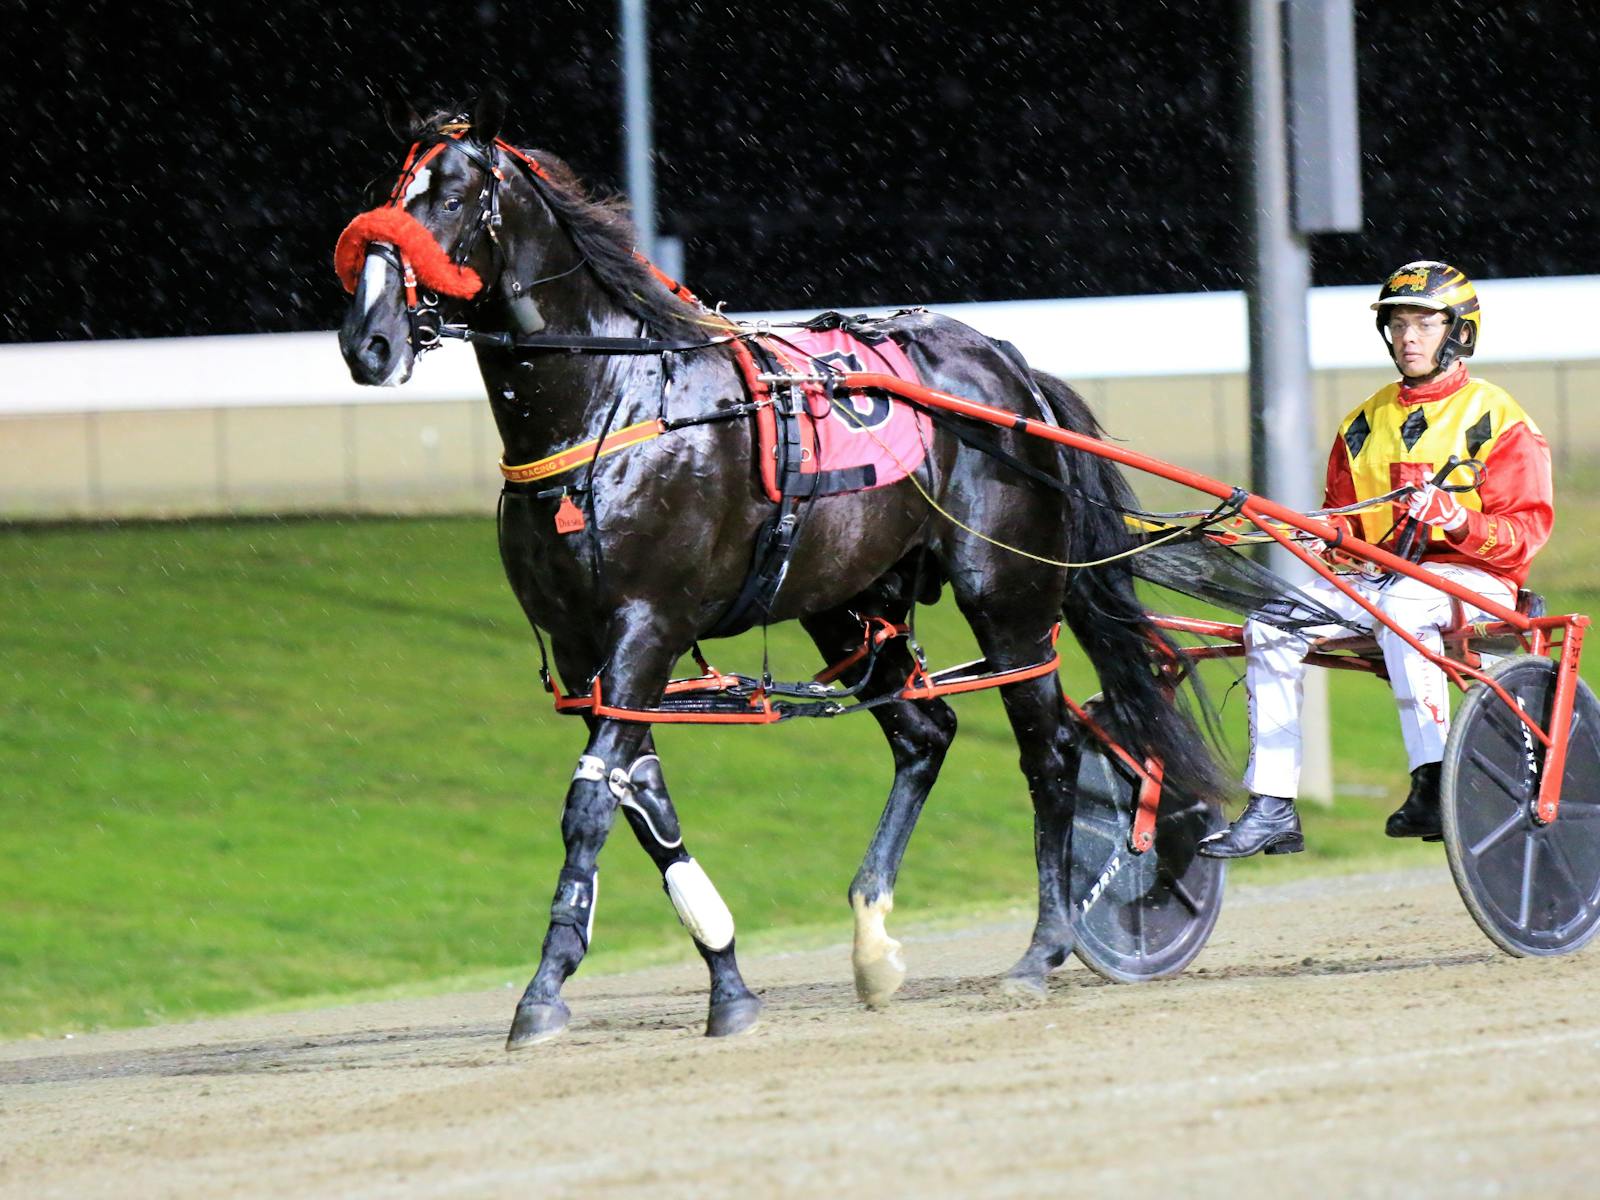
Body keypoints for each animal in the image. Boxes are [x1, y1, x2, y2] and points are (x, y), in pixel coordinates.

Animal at [331, 96, 1216, 1049]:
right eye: (393, 194)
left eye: (452, 198)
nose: (368, 340)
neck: (616, 399)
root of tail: (1008, 366)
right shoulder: (585, 647)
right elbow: (648, 808)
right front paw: (728, 982)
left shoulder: (647, 626)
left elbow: (590, 804)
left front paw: (544, 990)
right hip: (850, 600)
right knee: (926, 732)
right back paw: (873, 939)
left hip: (1007, 597)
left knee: (1049, 753)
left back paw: (1042, 950)